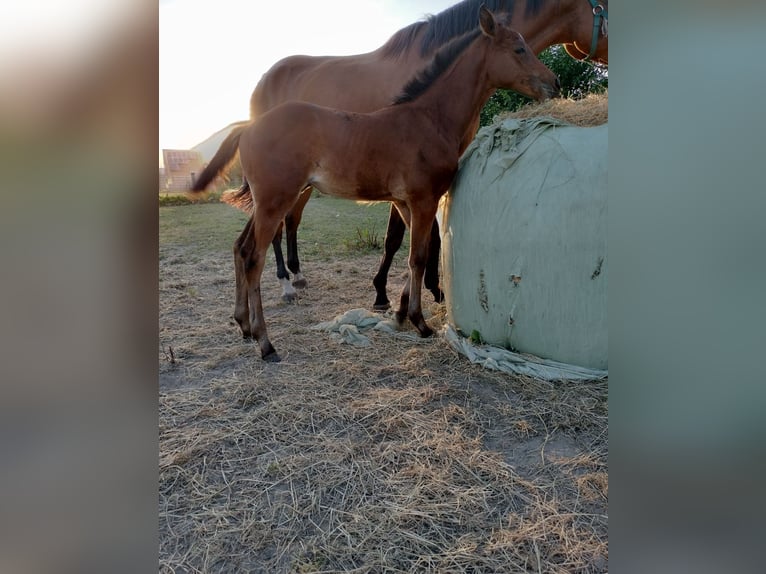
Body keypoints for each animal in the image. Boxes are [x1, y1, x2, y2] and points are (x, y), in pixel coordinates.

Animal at [194, 0, 612, 320]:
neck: (429, 110)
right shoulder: (416, 192)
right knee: (267, 240)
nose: (554, 83)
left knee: (266, 235)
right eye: (519, 49)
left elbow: (417, 243)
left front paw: (408, 299)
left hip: (286, 191)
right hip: (280, 191)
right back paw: (277, 305)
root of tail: (251, 117)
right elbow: (410, 246)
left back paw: (269, 299)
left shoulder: (413, 192)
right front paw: (406, 305)